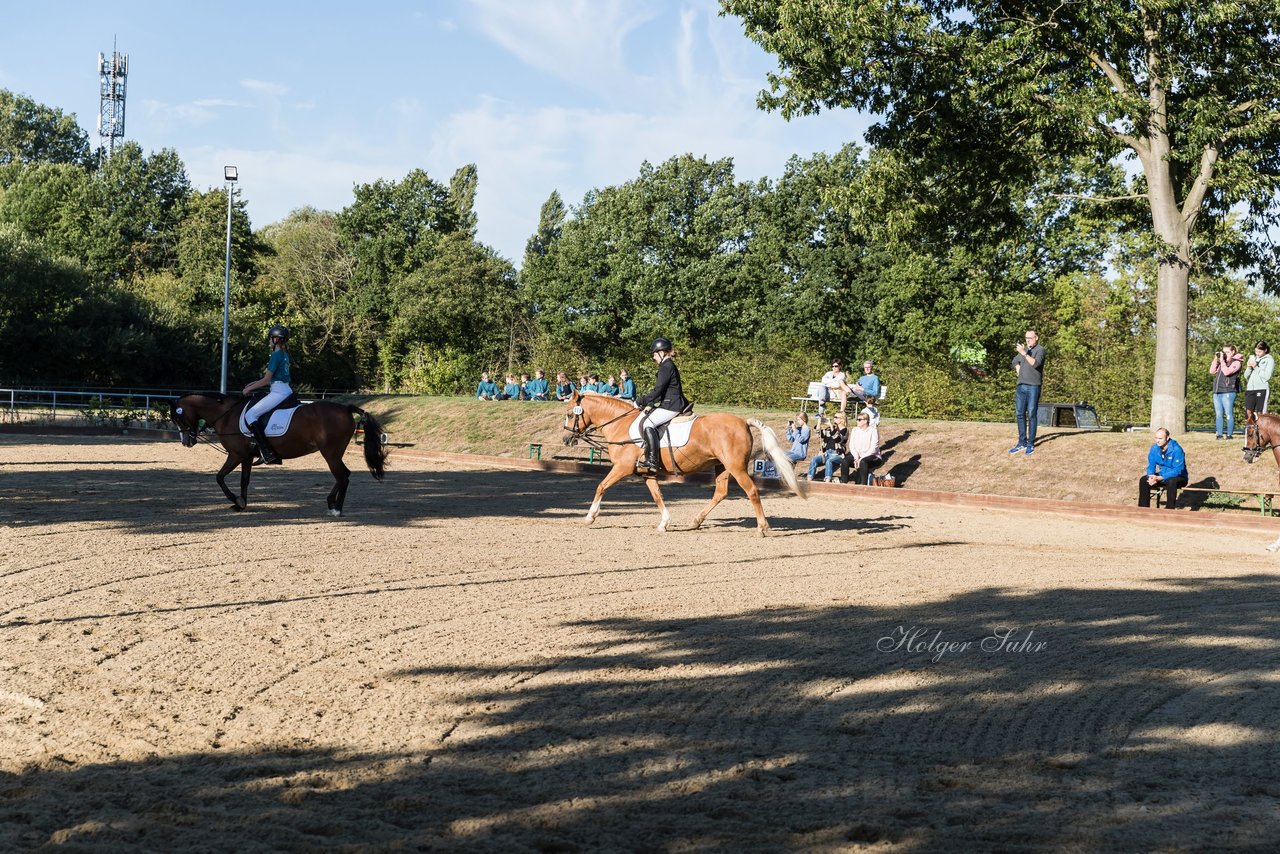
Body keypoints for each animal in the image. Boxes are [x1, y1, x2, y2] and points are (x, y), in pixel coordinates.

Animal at [172, 391, 386, 517]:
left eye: (178, 418)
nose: (186, 442)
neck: (226, 414)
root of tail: (345, 408)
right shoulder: (246, 456)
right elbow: (244, 481)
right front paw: (241, 504)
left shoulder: (235, 454)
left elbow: (219, 477)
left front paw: (235, 500)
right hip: (334, 453)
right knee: (344, 475)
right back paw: (331, 503)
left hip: (330, 453)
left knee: (342, 476)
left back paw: (336, 509)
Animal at [558, 391, 798, 537]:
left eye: (570, 414)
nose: (566, 439)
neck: (621, 424)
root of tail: (743, 422)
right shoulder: (647, 473)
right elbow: (657, 496)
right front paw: (664, 523)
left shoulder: (622, 468)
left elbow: (601, 486)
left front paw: (590, 517)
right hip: (721, 466)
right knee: (720, 492)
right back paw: (696, 521)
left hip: (736, 467)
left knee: (752, 491)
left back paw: (761, 527)